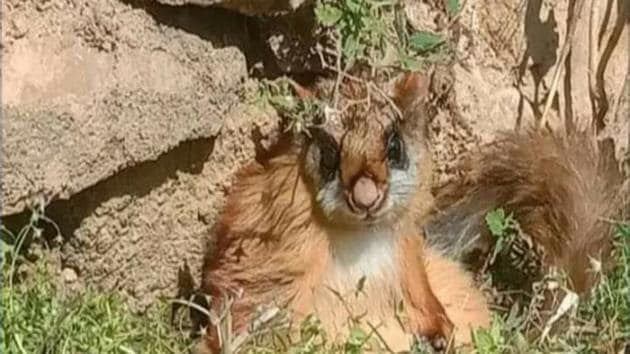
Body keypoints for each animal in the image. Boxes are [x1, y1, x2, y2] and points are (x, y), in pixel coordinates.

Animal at [195, 71, 492, 352]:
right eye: (329, 154)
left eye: (394, 146)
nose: (366, 200)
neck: (360, 236)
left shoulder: (407, 253)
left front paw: (440, 334)